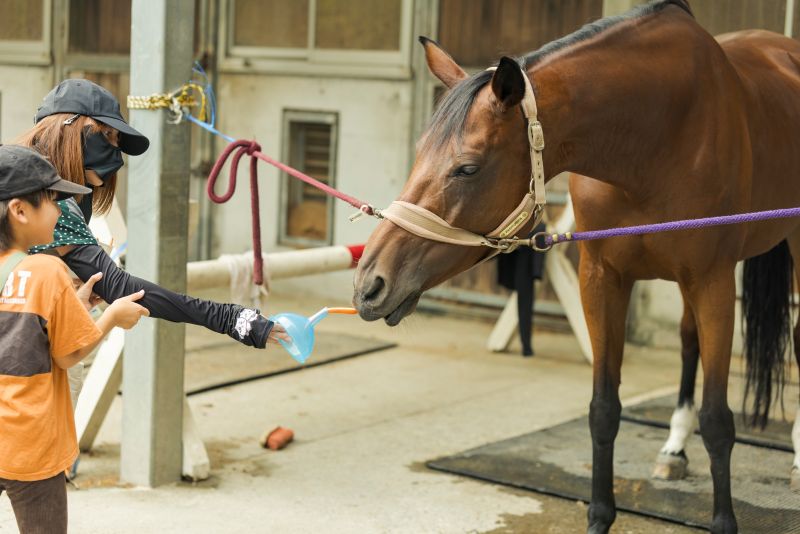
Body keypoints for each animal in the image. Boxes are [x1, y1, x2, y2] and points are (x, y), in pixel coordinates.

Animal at [352, 1, 800, 532]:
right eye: (420, 152)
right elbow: (604, 409)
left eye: (468, 168)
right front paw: (600, 517)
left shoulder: (710, 278)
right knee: (688, 340)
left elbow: (718, 421)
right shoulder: (602, 278)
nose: (370, 285)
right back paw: (673, 448)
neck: (657, 137)